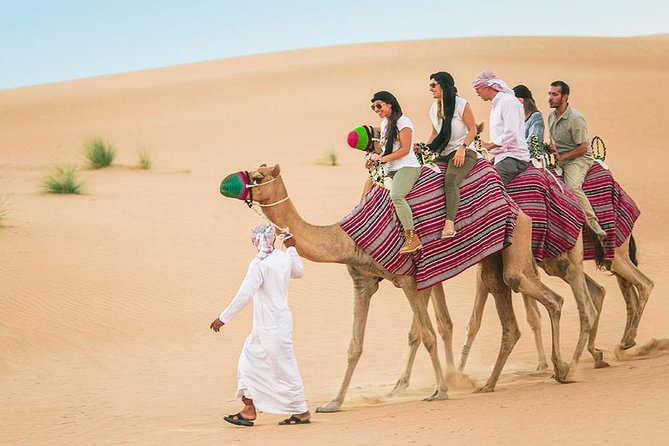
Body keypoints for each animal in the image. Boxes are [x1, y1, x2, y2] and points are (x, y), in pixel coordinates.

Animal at [222, 163, 571, 412]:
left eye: (257, 176)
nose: (226, 184)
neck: (345, 238)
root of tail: (511, 199)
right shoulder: (362, 282)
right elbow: (355, 345)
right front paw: (333, 403)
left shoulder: (408, 279)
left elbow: (427, 335)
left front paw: (440, 391)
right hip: (492, 258)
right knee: (510, 312)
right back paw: (491, 383)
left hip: (518, 238)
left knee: (544, 294)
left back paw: (562, 368)